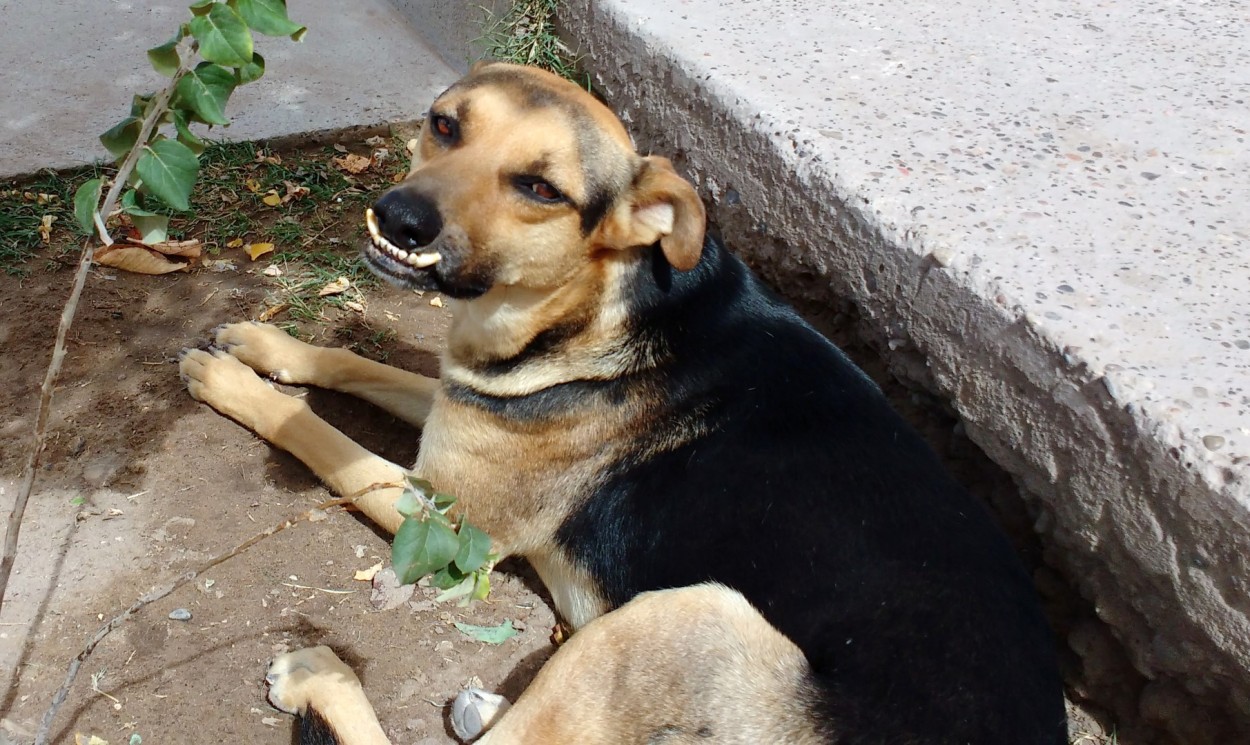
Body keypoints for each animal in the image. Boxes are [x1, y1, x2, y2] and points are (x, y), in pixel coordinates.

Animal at [181, 61, 1065, 740]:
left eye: (540, 187)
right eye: (444, 125)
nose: (397, 216)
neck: (590, 301)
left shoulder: (447, 523)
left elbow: (323, 439)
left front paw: (232, 383)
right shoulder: (471, 398)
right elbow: (354, 361)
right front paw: (267, 347)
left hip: (688, 616)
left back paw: (320, 675)